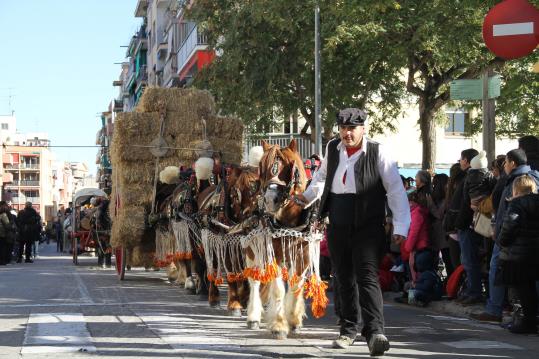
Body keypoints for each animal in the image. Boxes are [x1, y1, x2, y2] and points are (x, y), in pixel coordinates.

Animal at [246, 140, 330, 340]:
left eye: (291, 168)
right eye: (263, 167)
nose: (270, 200)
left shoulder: (304, 253)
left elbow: (295, 284)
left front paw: (293, 320)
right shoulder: (273, 250)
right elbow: (277, 288)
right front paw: (278, 325)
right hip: (253, 248)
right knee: (254, 279)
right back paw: (253, 316)